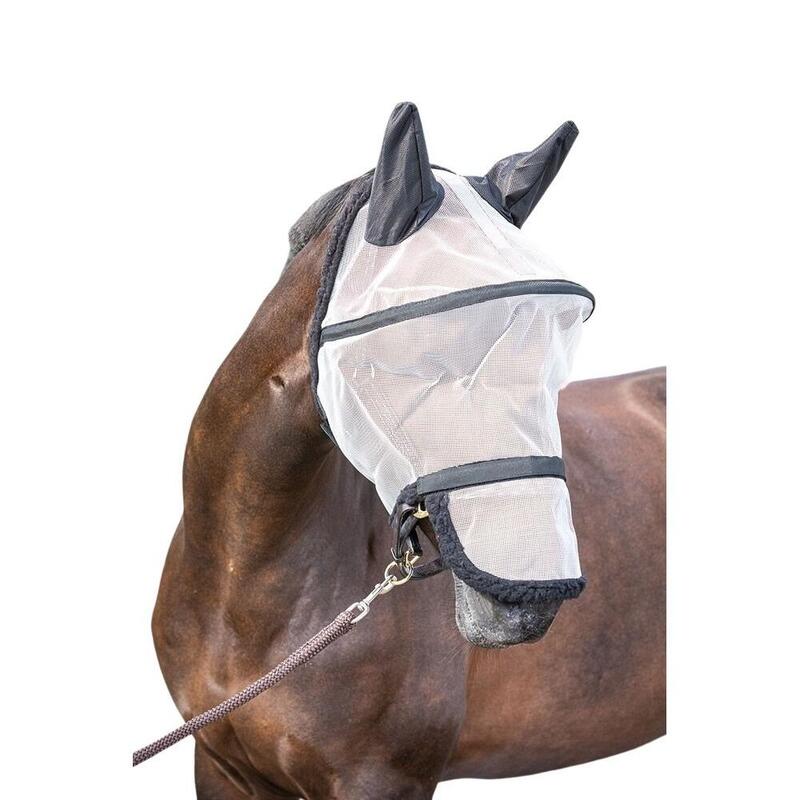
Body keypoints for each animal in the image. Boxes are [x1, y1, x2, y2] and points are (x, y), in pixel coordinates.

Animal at [151, 106, 665, 799]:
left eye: (552, 353)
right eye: (417, 355)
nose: (531, 598)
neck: (245, 587)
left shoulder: (382, 779)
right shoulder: (220, 768)